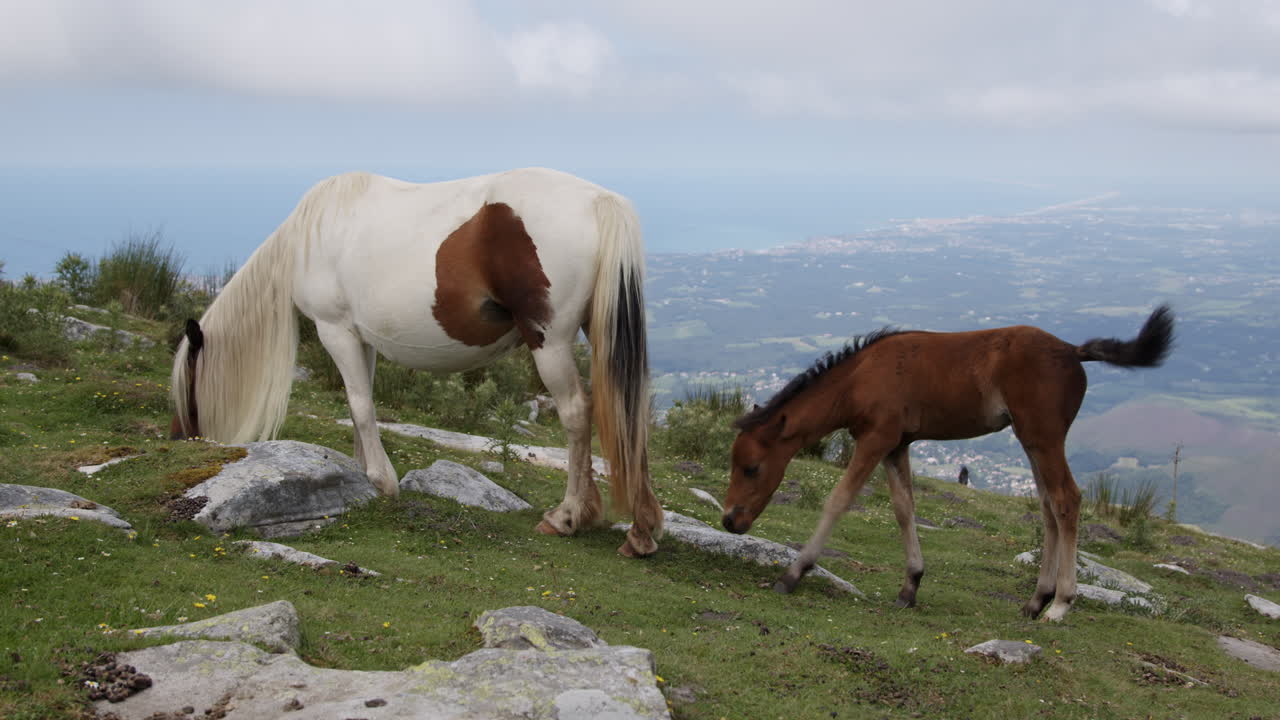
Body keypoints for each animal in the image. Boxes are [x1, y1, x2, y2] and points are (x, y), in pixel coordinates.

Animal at [169, 168, 663, 557]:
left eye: (187, 389)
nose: (179, 440)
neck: (307, 238)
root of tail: (600, 201)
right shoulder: (359, 338)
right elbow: (359, 404)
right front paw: (361, 471)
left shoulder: (335, 330)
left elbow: (360, 404)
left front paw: (382, 481)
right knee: (629, 412)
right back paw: (641, 532)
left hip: (550, 342)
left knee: (578, 413)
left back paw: (567, 516)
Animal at [721, 306, 1174, 621]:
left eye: (752, 468)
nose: (730, 521)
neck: (859, 378)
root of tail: (1071, 350)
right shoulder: (897, 445)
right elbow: (904, 509)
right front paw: (910, 586)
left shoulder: (876, 438)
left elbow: (839, 500)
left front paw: (793, 573)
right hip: (1031, 439)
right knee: (1048, 506)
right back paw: (1035, 601)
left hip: (1043, 436)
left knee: (1066, 499)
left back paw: (1061, 604)